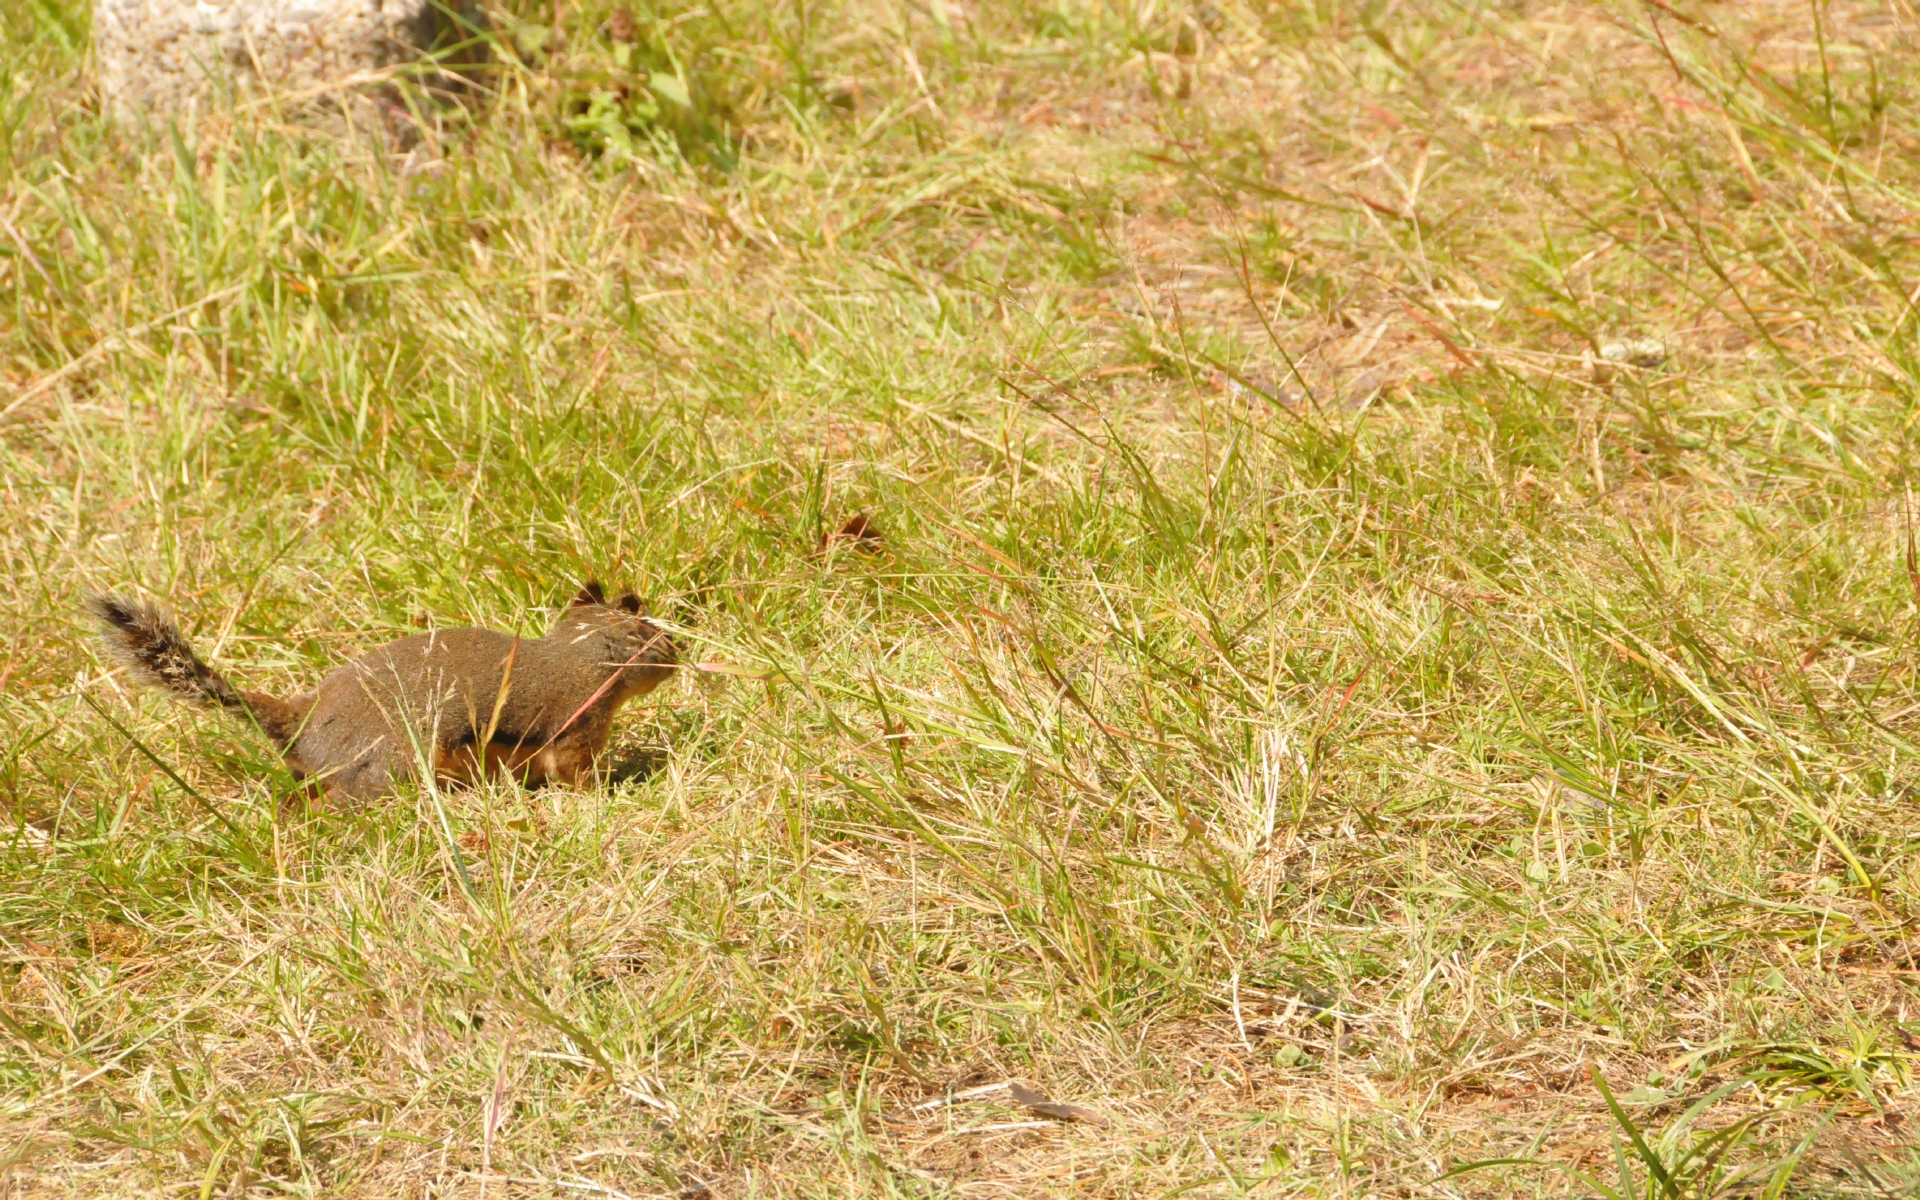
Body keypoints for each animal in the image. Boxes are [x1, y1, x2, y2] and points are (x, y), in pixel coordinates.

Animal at [90, 583, 679, 798]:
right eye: (656, 637)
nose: (679, 658)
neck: (580, 655)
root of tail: (302, 721)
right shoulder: (576, 724)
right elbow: (575, 773)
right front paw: (611, 791)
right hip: (390, 764)